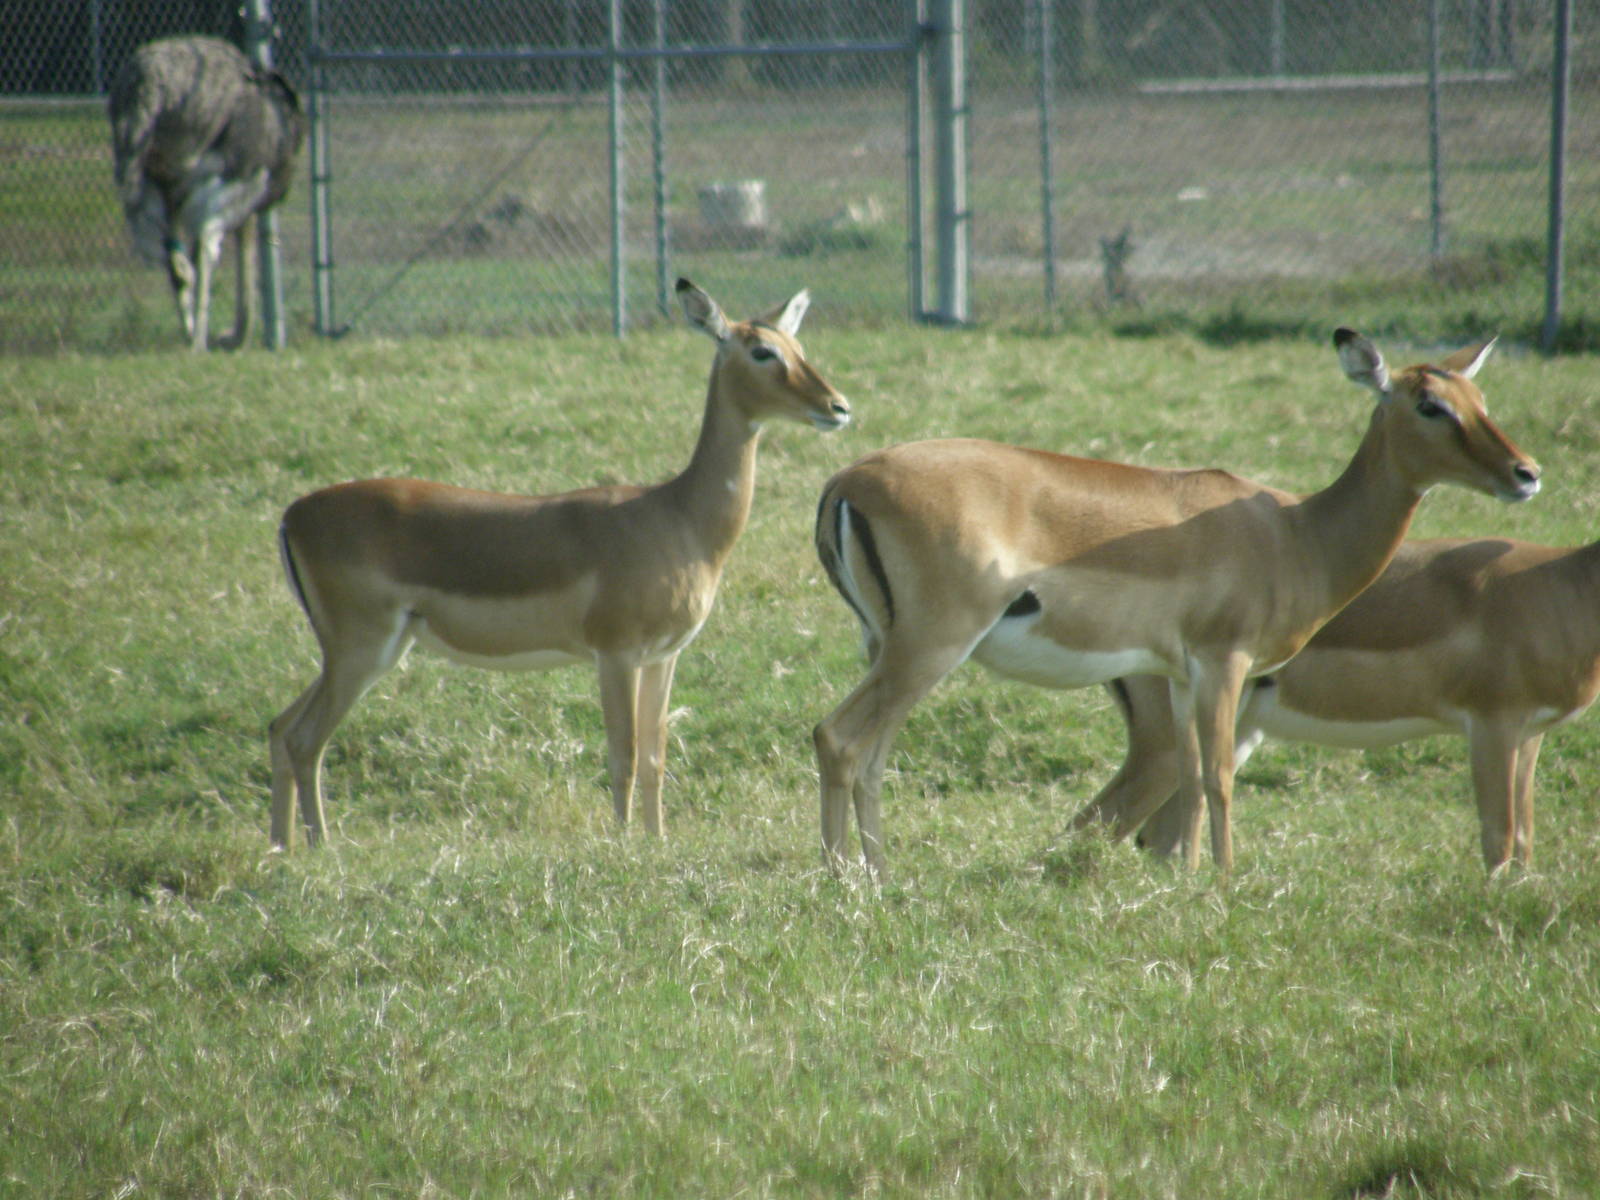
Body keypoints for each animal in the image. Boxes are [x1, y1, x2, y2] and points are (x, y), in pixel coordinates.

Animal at [269, 278, 850, 850]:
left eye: (798, 345)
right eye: (762, 351)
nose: (838, 406)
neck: (679, 516)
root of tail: (292, 515)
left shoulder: (663, 657)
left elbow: (656, 756)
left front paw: (658, 843)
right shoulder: (615, 655)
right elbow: (624, 756)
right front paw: (624, 847)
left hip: (358, 653)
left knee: (279, 726)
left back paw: (282, 848)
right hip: (362, 651)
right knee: (304, 739)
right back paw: (321, 848)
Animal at [813, 330, 1539, 877]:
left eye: (1478, 397)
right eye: (1429, 404)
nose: (1525, 473)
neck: (1297, 534)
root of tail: (846, 480)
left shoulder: (1179, 674)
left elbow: (1188, 775)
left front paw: (1185, 878)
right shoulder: (1224, 660)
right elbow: (1217, 774)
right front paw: (1223, 880)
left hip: (889, 651)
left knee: (872, 756)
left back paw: (878, 875)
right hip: (930, 648)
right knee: (839, 738)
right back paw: (845, 880)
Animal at [1099, 532, 1600, 872]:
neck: (1560, 586)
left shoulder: (1529, 736)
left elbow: (1524, 839)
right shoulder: (1493, 727)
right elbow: (1499, 838)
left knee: (1159, 834)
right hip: (1165, 749)